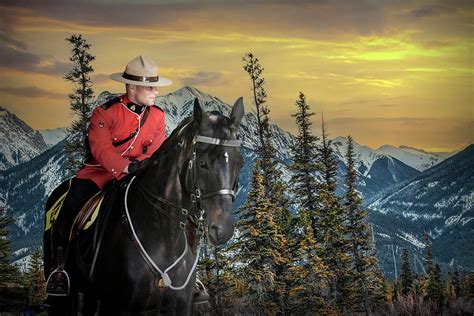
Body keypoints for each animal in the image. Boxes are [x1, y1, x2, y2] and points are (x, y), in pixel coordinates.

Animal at [42, 97, 244, 314]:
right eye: (203, 163)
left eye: (239, 163)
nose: (223, 230)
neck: (164, 239)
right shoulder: (117, 306)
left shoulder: (179, 307)